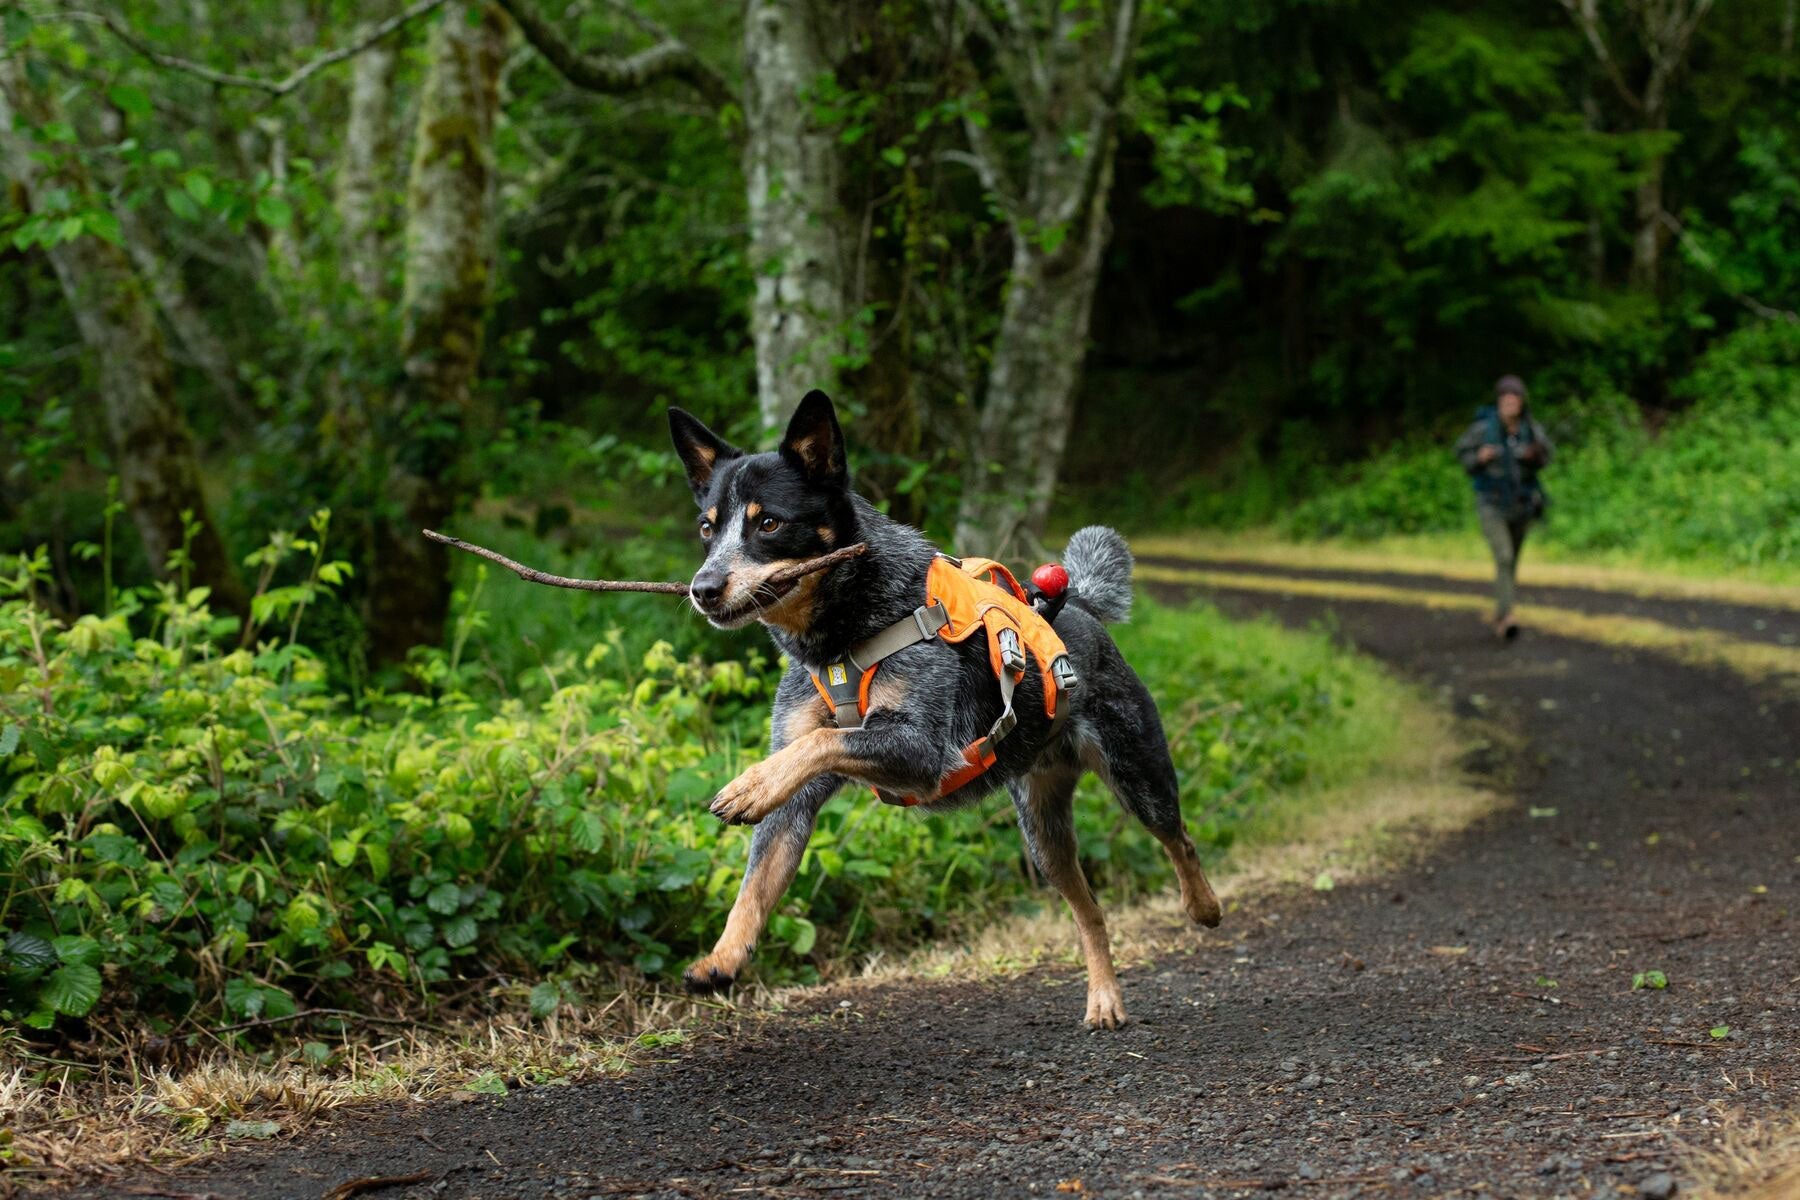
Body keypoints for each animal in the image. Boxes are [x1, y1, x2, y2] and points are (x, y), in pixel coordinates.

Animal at [673, 390, 1224, 1029]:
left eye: (769, 522)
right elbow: (756, 883)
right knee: (1089, 910)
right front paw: (722, 958)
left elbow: (823, 742)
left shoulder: (921, 752)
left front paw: (748, 786)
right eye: (707, 527)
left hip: (1138, 776)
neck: (840, 639)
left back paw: (1203, 906)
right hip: (1042, 834)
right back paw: (1104, 999)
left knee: (1179, 839)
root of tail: (1078, 605)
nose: (702, 588)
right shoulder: (800, 798)